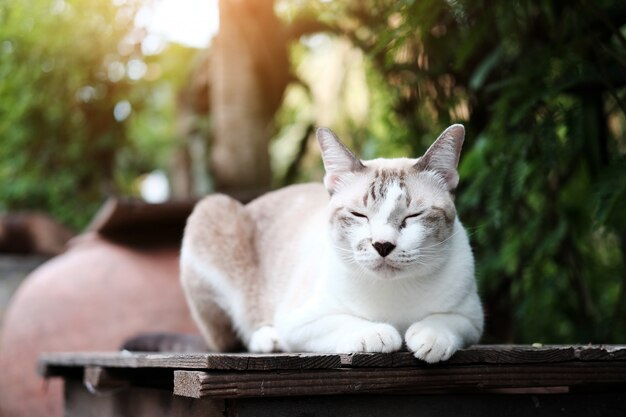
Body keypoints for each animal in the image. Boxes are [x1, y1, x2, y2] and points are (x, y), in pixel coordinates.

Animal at [180, 123, 482, 360]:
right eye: (359, 215)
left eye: (413, 216)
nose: (383, 245)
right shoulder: (300, 321)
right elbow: (346, 323)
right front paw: (378, 333)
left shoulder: (472, 319)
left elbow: (446, 321)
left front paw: (430, 336)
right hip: (211, 210)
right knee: (230, 337)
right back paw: (268, 339)